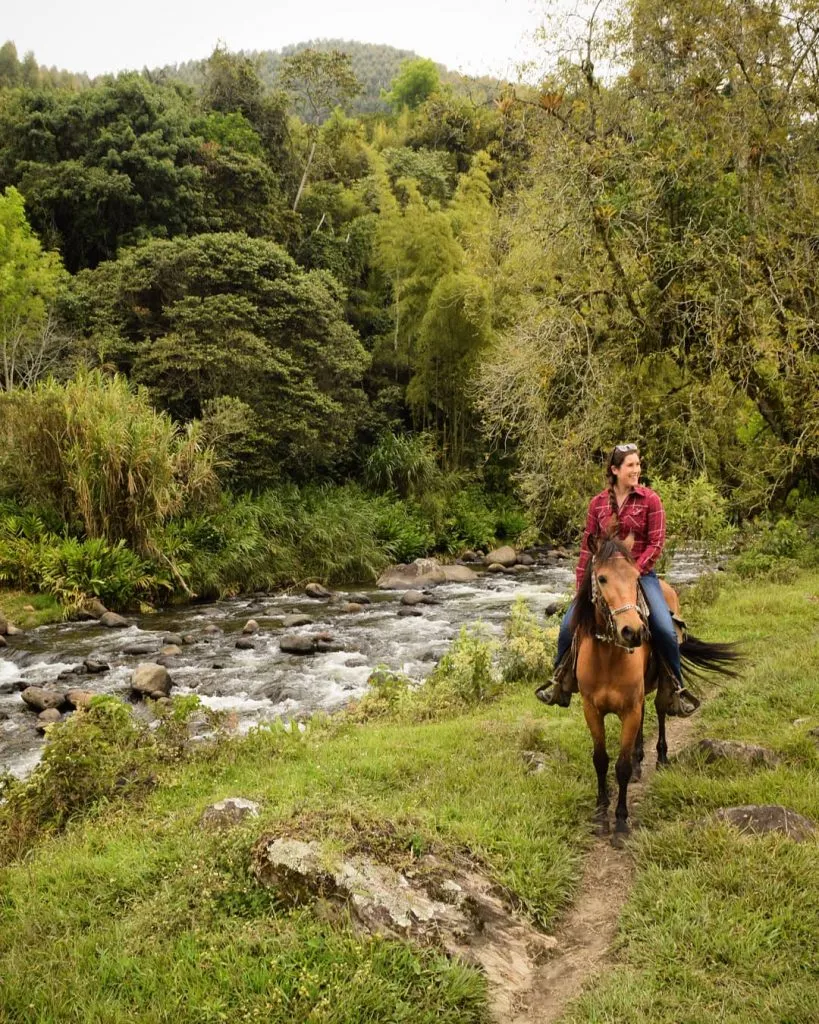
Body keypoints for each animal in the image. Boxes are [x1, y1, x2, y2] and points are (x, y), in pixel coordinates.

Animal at [573, 532, 737, 843]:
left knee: (660, 710)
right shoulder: (591, 709)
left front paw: (621, 823)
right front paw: (600, 814)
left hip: (661, 684)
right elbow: (600, 759)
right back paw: (641, 761)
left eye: (636, 577)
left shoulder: (629, 708)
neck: (607, 657)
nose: (633, 631)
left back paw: (660, 757)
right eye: (601, 578)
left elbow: (621, 766)